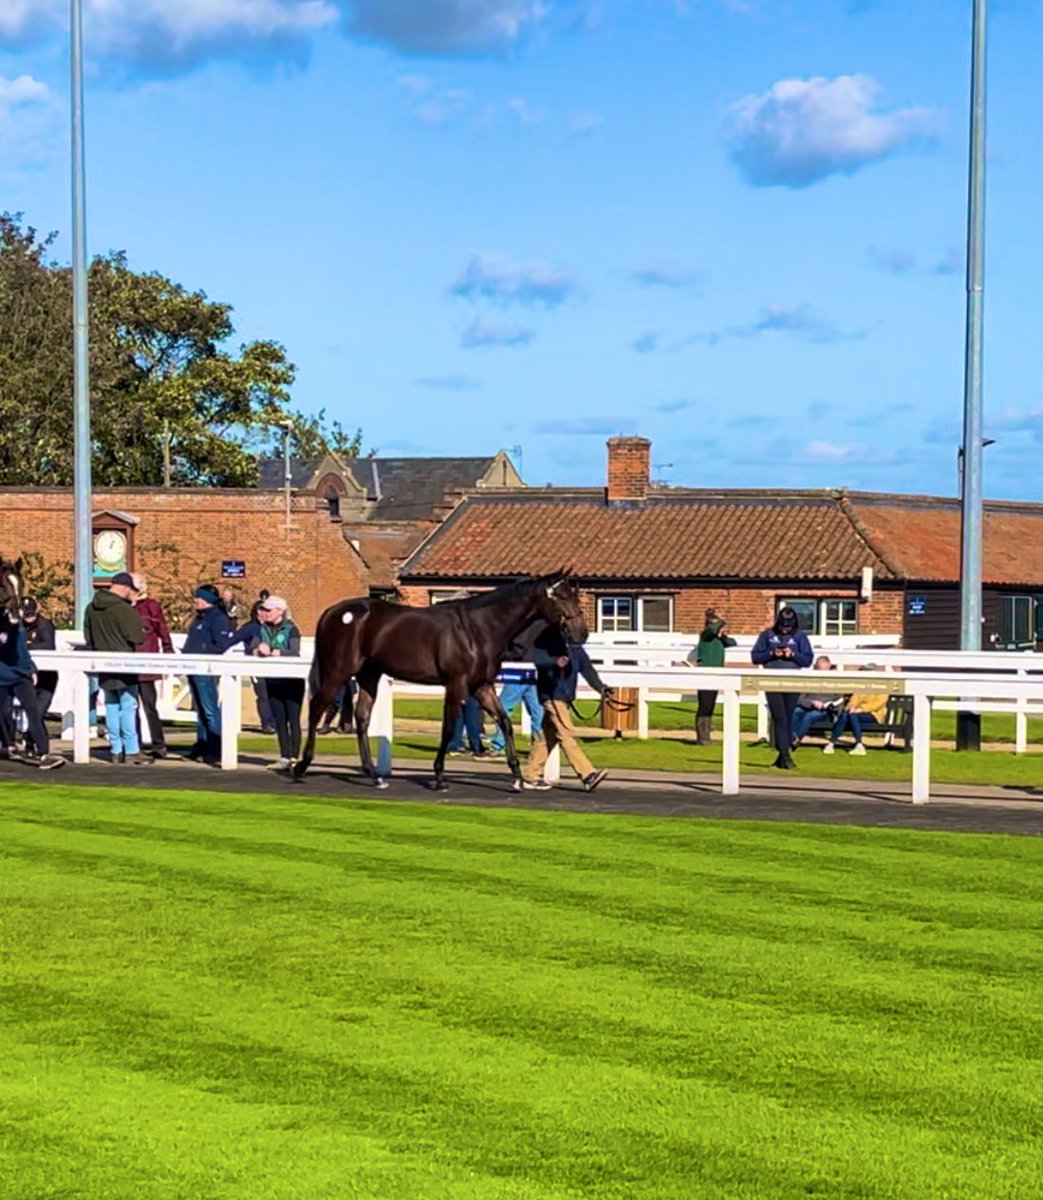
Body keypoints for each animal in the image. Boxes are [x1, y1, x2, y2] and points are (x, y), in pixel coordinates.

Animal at [295, 576, 585, 792]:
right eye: (560, 597)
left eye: (573, 594)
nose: (581, 632)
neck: (477, 629)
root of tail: (333, 612)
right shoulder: (456, 685)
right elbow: (448, 729)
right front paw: (438, 777)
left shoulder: (482, 686)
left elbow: (504, 722)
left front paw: (516, 779)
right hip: (339, 672)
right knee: (317, 706)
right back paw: (301, 766)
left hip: (369, 675)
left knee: (362, 717)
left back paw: (375, 776)